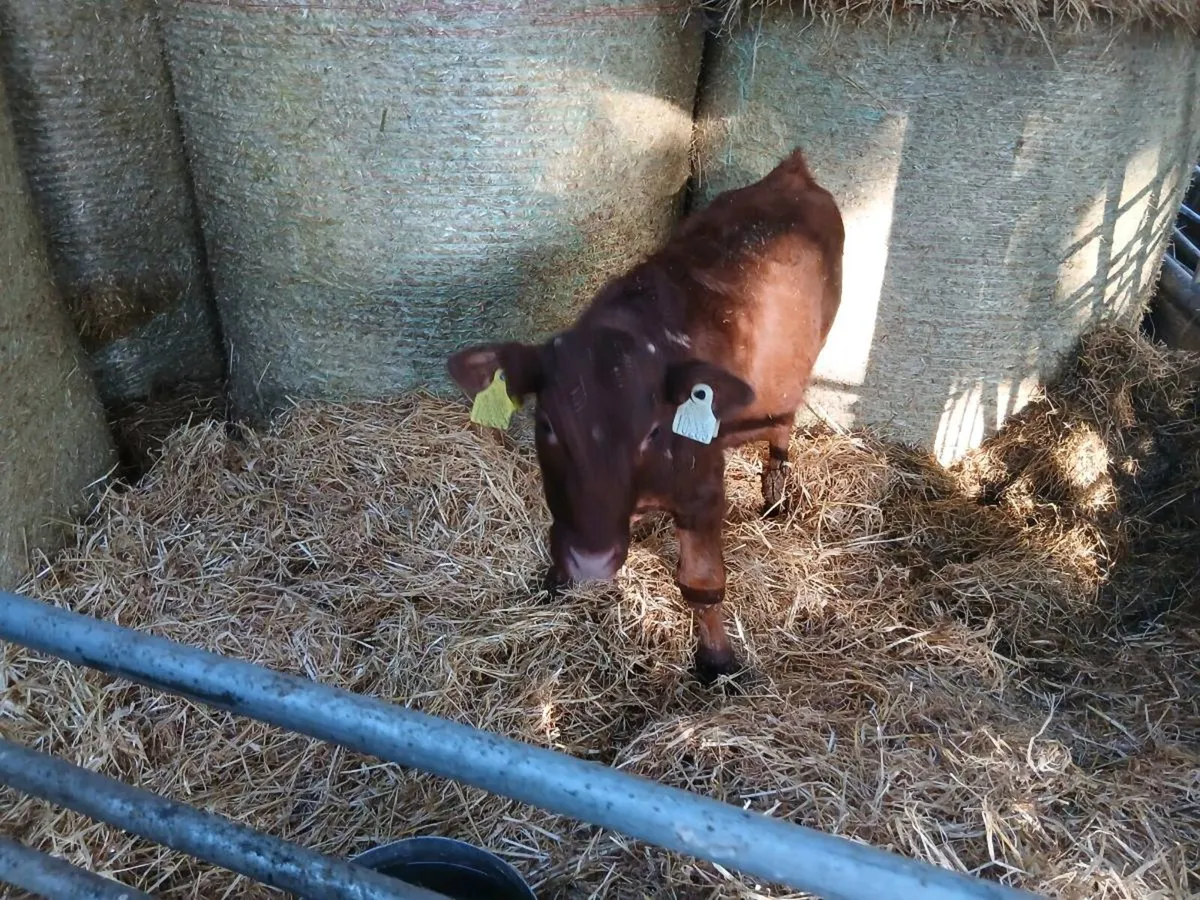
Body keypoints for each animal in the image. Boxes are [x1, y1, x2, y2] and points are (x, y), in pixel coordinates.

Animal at [447, 147, 844, 684]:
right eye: (546, 424)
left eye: (654, 430)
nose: (591, 563)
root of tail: (792, 172)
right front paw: (556, 581)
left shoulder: (703, 489)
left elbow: (701, 582)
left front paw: (716, 660)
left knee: (784, 420)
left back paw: (776, 489)